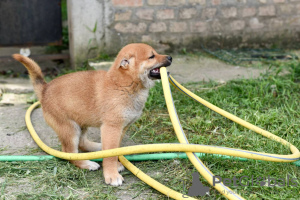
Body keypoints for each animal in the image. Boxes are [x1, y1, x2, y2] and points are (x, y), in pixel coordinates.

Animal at [12, 43, 172, 186]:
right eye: (152, 56)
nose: (170, 57)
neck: (124, 84)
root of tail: (45, 90)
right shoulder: (111, 127)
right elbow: (110, 153)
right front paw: (112, 175)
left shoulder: (121, 128)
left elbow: (115, 149)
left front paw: (116, 165)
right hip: (70, 128)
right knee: (70, 153)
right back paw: (87, 163)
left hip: (81, 123)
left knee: (82, 143)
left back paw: (97, 148)